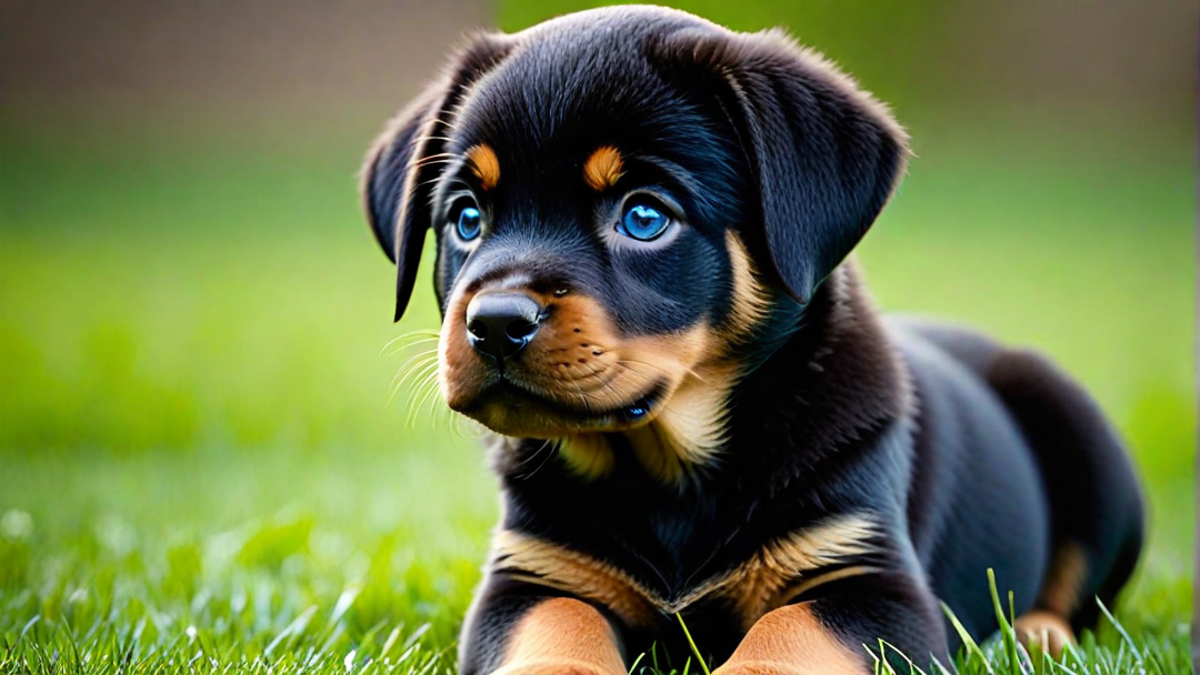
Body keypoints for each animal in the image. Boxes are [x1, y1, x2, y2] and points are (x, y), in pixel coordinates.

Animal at [355, 6, 1142, 672]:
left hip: (1087, 446)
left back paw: (1036, 633)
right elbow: (554, 634)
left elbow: (782, 639)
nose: (493, 323)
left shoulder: (870, 584)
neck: (666, 479)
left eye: (645, 216)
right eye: (466, 216)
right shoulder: (533, 576)